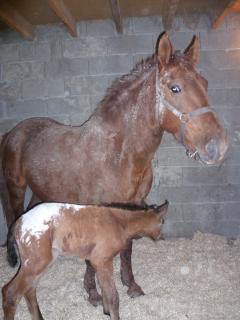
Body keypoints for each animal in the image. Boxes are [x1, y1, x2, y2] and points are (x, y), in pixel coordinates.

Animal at [1, 201, 168, 320]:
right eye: (163, 221)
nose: (161, 237)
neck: (118, 222)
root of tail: (18, 222)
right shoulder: (101, 260)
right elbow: (113, 296)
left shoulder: (99, 262)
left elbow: (105, 289)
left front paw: (106, 311)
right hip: (36, 262)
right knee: (11, 293)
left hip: (40, 263)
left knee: (29, 290)